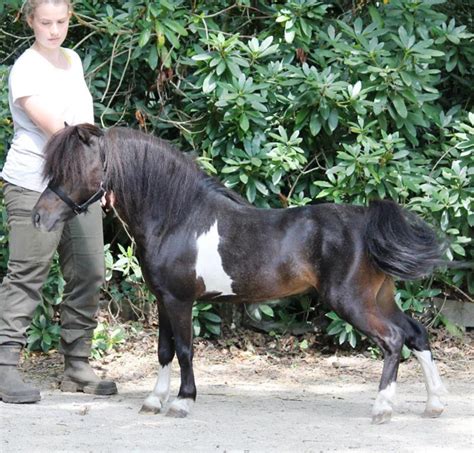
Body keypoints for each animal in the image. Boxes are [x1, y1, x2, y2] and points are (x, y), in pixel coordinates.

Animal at [32, 123, 448, 424]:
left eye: (75, 170)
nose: (39, 217)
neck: (178, 218)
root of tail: (365, 222)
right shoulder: (163, 299)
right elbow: (164, 350)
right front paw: (153, 400)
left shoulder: (180, 300)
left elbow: (184, 349)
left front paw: (182, 402)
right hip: (379, 298)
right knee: (416, 333)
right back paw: (434, 404)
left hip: (352, 302)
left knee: (393, 340)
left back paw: (383, 408)